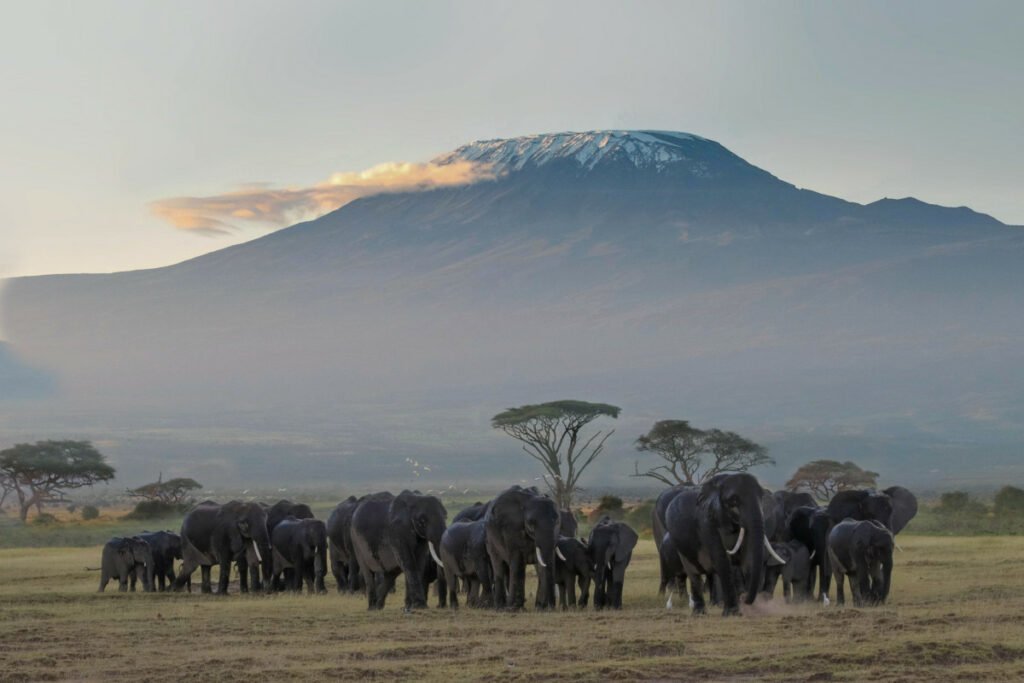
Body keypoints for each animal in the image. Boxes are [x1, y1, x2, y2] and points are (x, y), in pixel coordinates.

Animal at [663, 475, 782, 614]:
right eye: (733, 501)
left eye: (761, 499)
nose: (744, 599)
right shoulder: (706, 523)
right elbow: (722, 561)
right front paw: (732, 614)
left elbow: (748, 560)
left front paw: (752, 610)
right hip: (680, 546)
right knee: (693, 574)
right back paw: (699, 614)